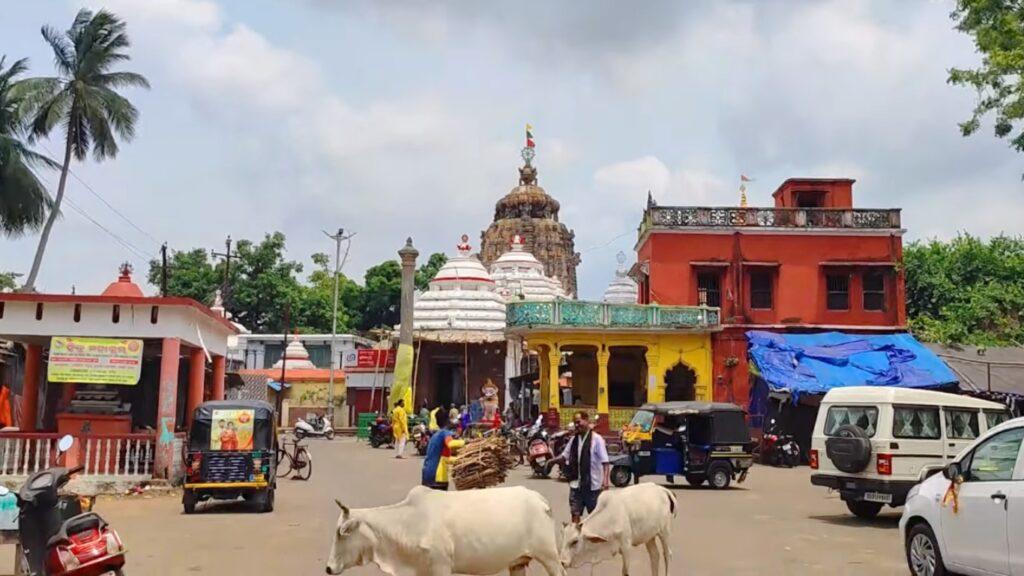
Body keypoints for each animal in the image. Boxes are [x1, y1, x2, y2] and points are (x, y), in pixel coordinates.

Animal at [327, 483, 565, 573]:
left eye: (341, 534)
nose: (328, 568)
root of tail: (539, 499)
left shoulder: (441, 566)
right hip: (518, 563)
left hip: (549, 557)